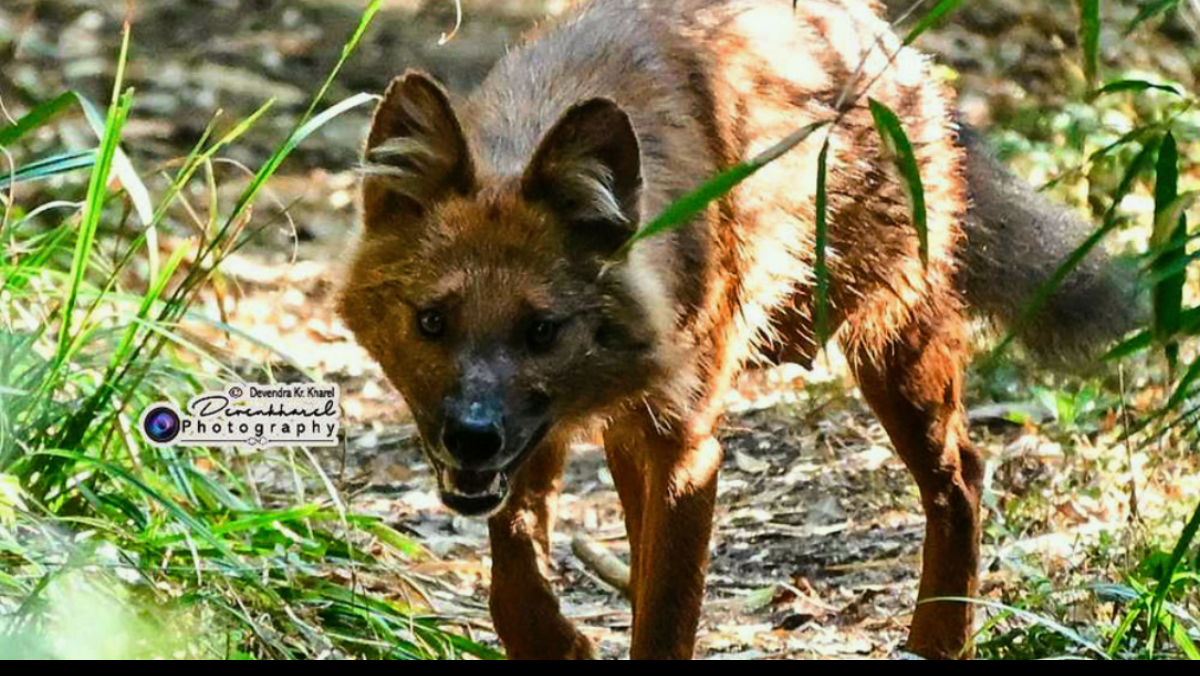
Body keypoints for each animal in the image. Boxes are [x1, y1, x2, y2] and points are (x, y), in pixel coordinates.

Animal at [336, 0, 1132, 662]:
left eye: (542, 329)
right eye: (431, 321)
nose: (471, 436)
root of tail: (887, 40)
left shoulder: (688, 447)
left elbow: (665, 618)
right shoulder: (548, 439)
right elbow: (517, 582)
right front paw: (561, 642)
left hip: (894, 339)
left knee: (961, 474)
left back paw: (938, 640)